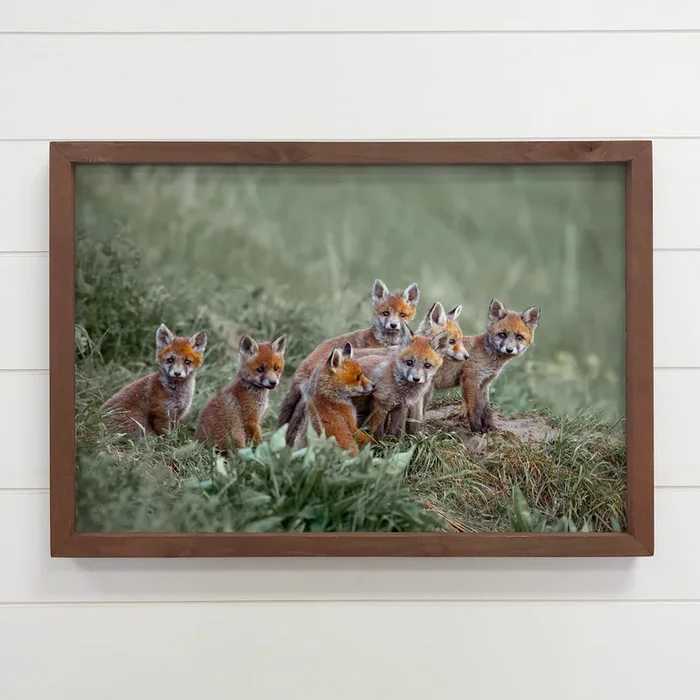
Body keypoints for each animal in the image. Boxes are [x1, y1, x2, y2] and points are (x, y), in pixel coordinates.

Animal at [434, 298, 541, 434]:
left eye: (519, 337)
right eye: (502, 334)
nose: (509, 349)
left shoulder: (484, 384)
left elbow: (486, 410)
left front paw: (490, 428)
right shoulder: (470, 379)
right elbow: (474, 408)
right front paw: (476, 429)